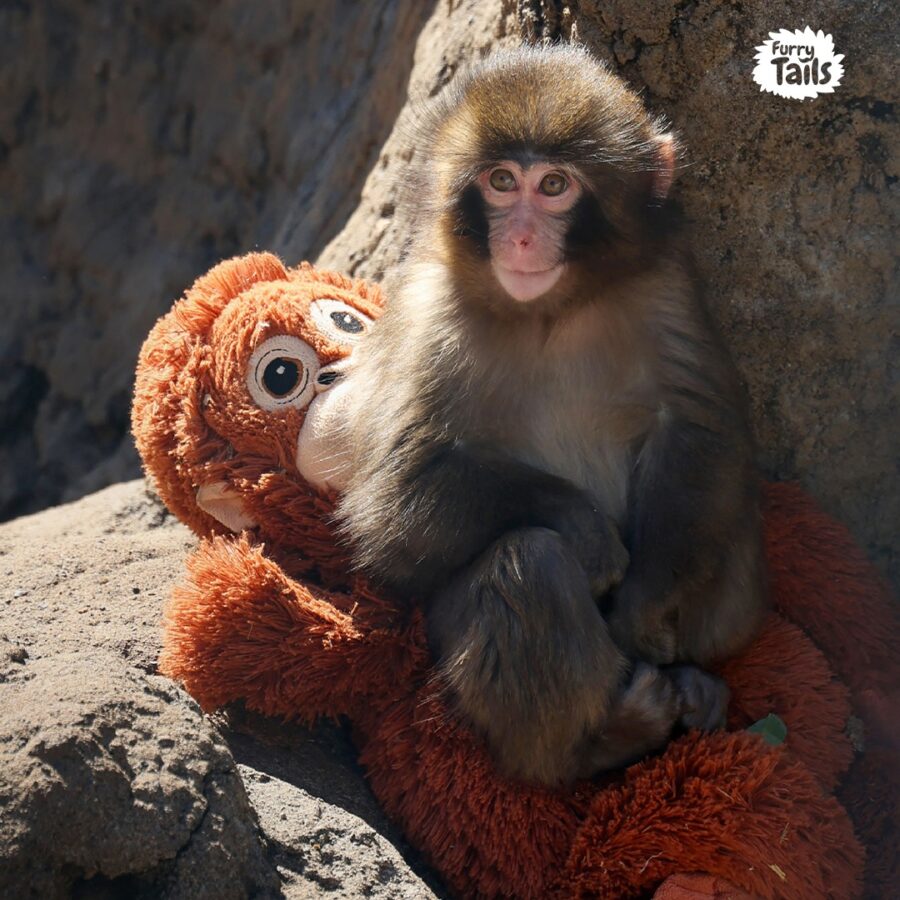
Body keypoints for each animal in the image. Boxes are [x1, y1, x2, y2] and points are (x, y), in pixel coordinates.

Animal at [334, 44, 766, 785]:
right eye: (503, 182)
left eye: (555, 186)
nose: (522, 238)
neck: (549, 312)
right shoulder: (428, 312)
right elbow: (395, 501)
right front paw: (584, 526)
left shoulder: (666, 286)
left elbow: (696, 430)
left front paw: (643, 605)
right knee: (529, 563)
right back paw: (599, 742)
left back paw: (693, 680)